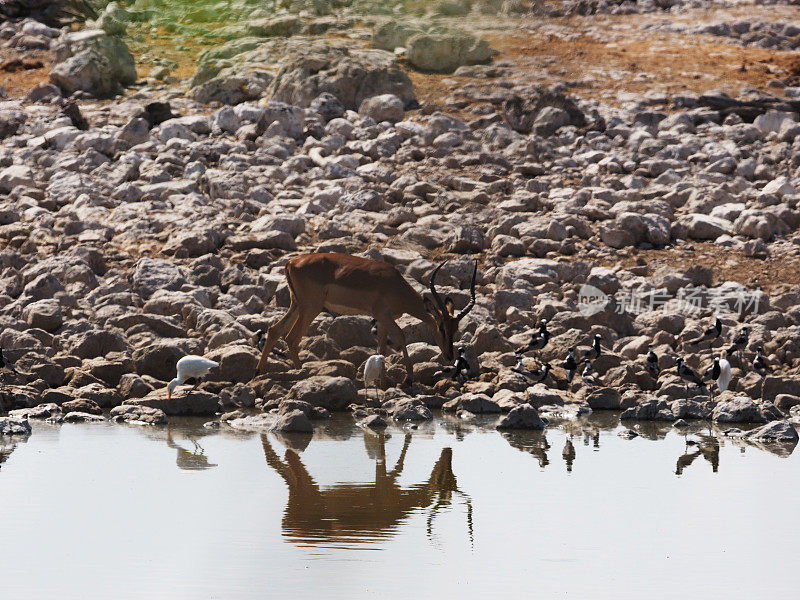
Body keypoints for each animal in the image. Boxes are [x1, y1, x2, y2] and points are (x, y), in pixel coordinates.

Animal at [256, 253, 478, 384]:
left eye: (455, 329)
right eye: (441, 327)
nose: (449, 355)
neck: (395, 285)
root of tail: (291, 262)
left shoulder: (384, 319)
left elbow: (381, 347)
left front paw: (384, 382)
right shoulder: (383, 315)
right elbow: (401, 336)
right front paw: (408, 378)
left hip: (297, 305)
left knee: (274, 330)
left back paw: (259, 372)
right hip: (311, 307)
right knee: (292, 338)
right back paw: (300, 374)